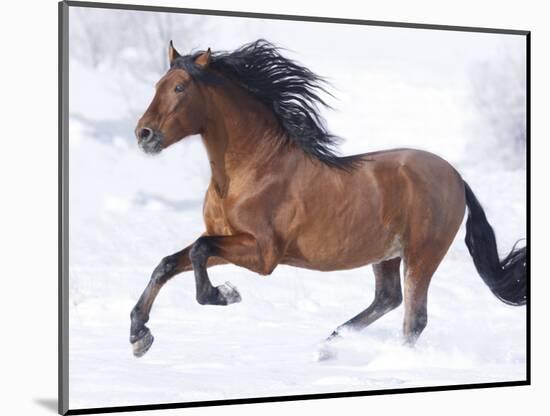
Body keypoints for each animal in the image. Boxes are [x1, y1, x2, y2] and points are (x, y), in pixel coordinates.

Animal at [129, 38, 532, 358]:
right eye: (158, 84)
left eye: (180, 88)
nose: (143, 134)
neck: (253, 169)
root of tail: (457, 177)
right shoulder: (229, 241)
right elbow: (169, 262)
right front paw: (138, 334)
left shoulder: (262, 254)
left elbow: (198, 250)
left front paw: (224, 294)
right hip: (386, 253)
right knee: (388, 299)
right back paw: (327, 347)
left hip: (422, 254)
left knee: (413, 318)